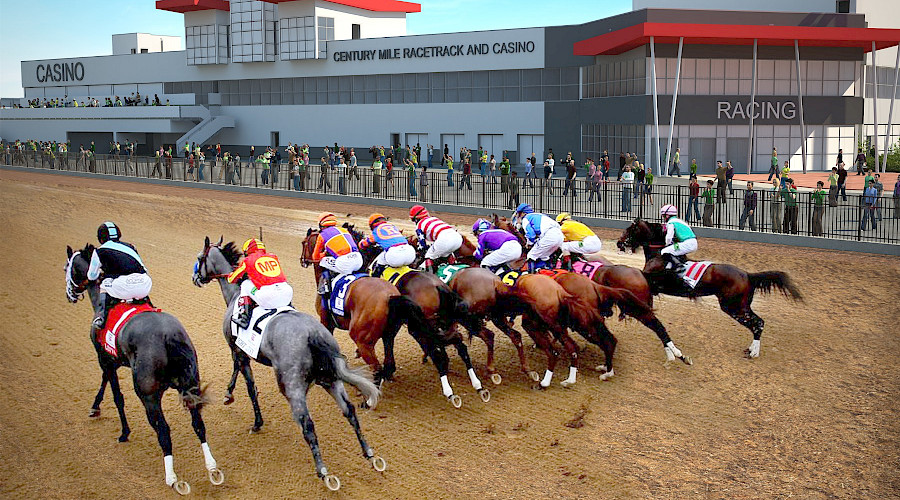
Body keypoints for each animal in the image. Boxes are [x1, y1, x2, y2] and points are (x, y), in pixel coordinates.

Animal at [64, 244, 223, 494]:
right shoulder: (112, 359)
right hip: (190, 383)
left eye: (67, 267)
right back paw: (212, 469)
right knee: (198, 423)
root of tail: (169, 335)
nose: (69, 293)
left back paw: (174, 479)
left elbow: (116, 395)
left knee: (163, 430)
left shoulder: (104, 358)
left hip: (148, 394)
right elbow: (105, 381)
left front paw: (123, 432)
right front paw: (95, 407)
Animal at [193, 236, 386, 490]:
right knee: (350, 412)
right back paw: (370, 454)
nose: (195, 277)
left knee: (308, 425)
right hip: (330, 379)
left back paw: (324, 472)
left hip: (292, 387)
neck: (235, 295)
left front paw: (243, 408)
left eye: (200, 258)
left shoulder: (238, 350)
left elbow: (248, 385)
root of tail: (313, 334)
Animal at [302, 229, 488, 408]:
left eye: (304, 243)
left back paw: (450, 392)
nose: (303, 260)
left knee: (440, 355)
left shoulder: (326, 321)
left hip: (419, 329)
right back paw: (477, 385)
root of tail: (437, 286)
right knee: (460, 346)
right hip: (443, 323)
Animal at [492, 214, 688, 364]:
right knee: (655, 324)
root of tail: (640, 273)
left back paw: (676, 353)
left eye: (630, 229)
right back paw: (674, 354)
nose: (620, 243)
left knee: (656, 325)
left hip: (635, 307)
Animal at [620, 221, 800, 358]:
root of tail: (747, 275)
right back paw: (751, 349)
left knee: (758, 323)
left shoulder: (655, 282)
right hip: (742, 306)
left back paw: (753, 352)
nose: (619, 243)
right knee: (758, 323)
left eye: (629, 229)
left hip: (733, 307)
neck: (659, 254)